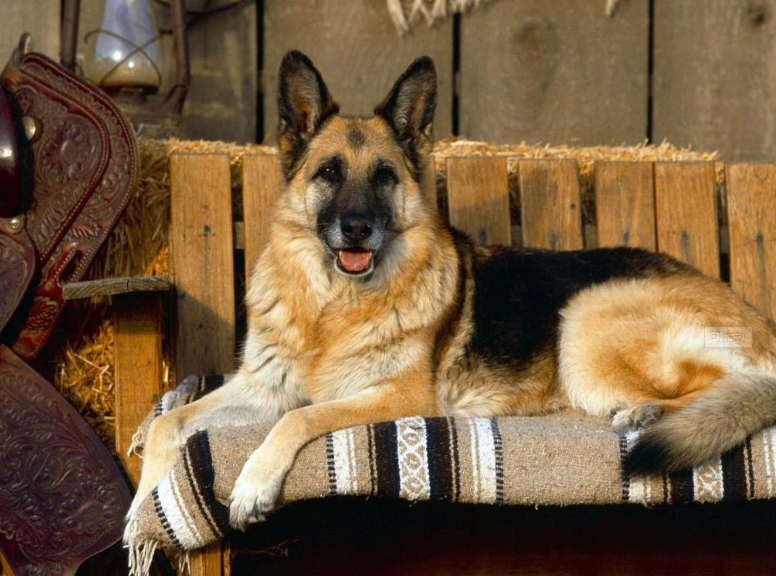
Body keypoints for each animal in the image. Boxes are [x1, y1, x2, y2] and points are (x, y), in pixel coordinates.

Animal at [129, 51, 776, 528]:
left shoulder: (395, 397)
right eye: (330, 173)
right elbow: (168, 423)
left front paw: (252, 483)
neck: (331, 308)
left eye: (384, 178)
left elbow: (298, 419)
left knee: (734, 386)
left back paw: (648, 411)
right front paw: (143, 515)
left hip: (586, 315)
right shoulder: (261, 387)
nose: (357, 228)